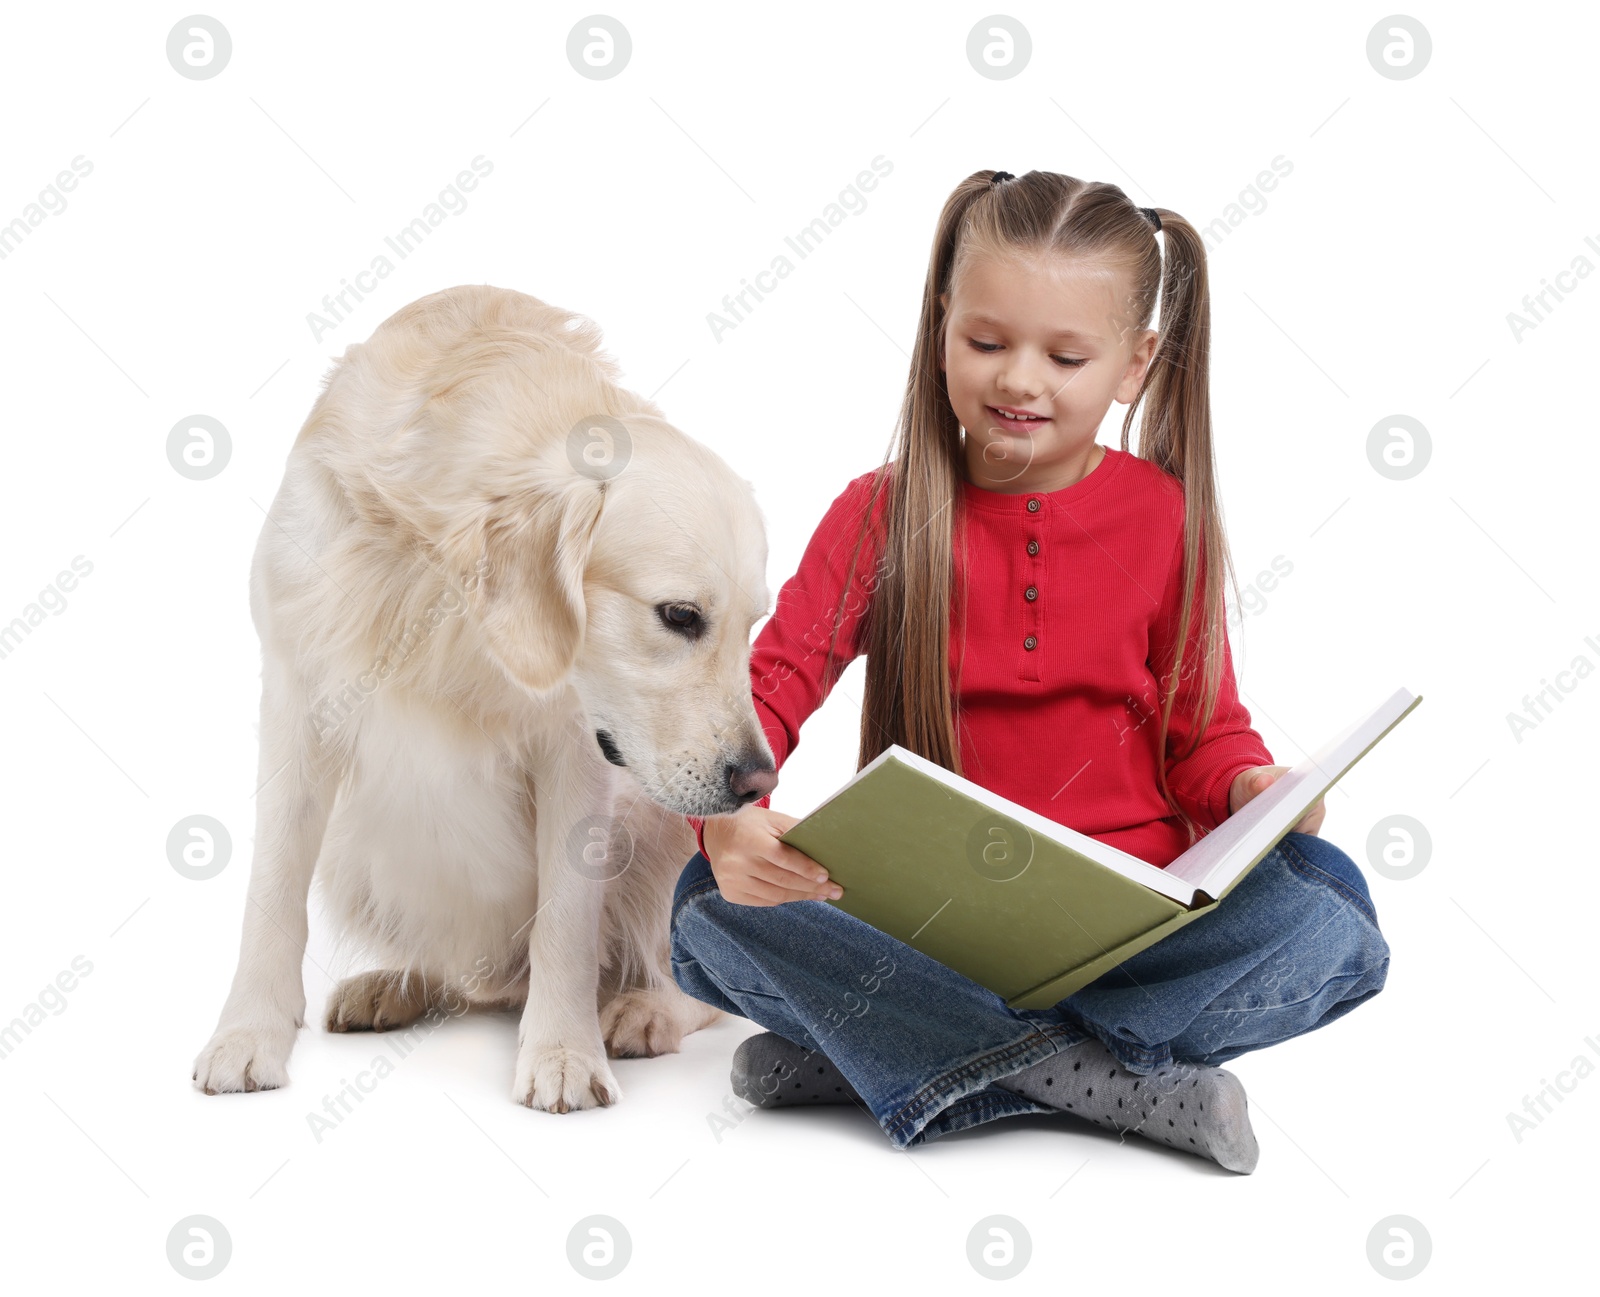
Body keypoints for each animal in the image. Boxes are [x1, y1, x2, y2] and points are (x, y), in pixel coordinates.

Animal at [190, 286, 777, 1113]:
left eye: (752, 625)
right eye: (681, 616)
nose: (761, 779)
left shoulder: (577, 746)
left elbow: (567, 915)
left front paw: (563, 1051)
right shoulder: (296, 694)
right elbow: (271, 889)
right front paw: (246, 1034)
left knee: (687, 981)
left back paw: (642, 1009)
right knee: (471, 978)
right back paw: (394, 986)